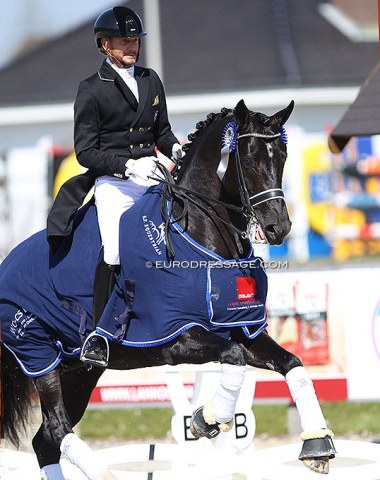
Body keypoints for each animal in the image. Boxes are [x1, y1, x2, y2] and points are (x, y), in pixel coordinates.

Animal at [0, 99, 336, 478]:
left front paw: (317, 445)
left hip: (79, 370)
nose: (279, 227)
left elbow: (291, 362)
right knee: (57, 428)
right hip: (38, 353)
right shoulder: (176, 338)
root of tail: (6, 264)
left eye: (282, 157)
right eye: (248, 161)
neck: (200, 235)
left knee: (46, 438)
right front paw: (208, 419)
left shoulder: (242, 329)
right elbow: (233, 358)